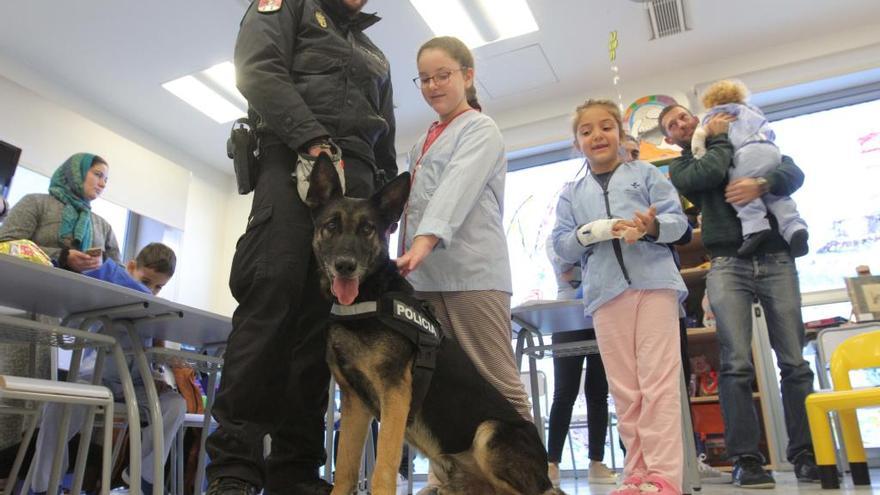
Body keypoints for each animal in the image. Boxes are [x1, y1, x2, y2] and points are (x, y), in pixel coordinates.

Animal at [304, 158, 564, 495]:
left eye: (367, 229)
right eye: (332, 226)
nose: (345, 266)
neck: (368, 299)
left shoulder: (396, 394)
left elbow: (382, 471)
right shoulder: (354, 404)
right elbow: (346, 471)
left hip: (488, 433)